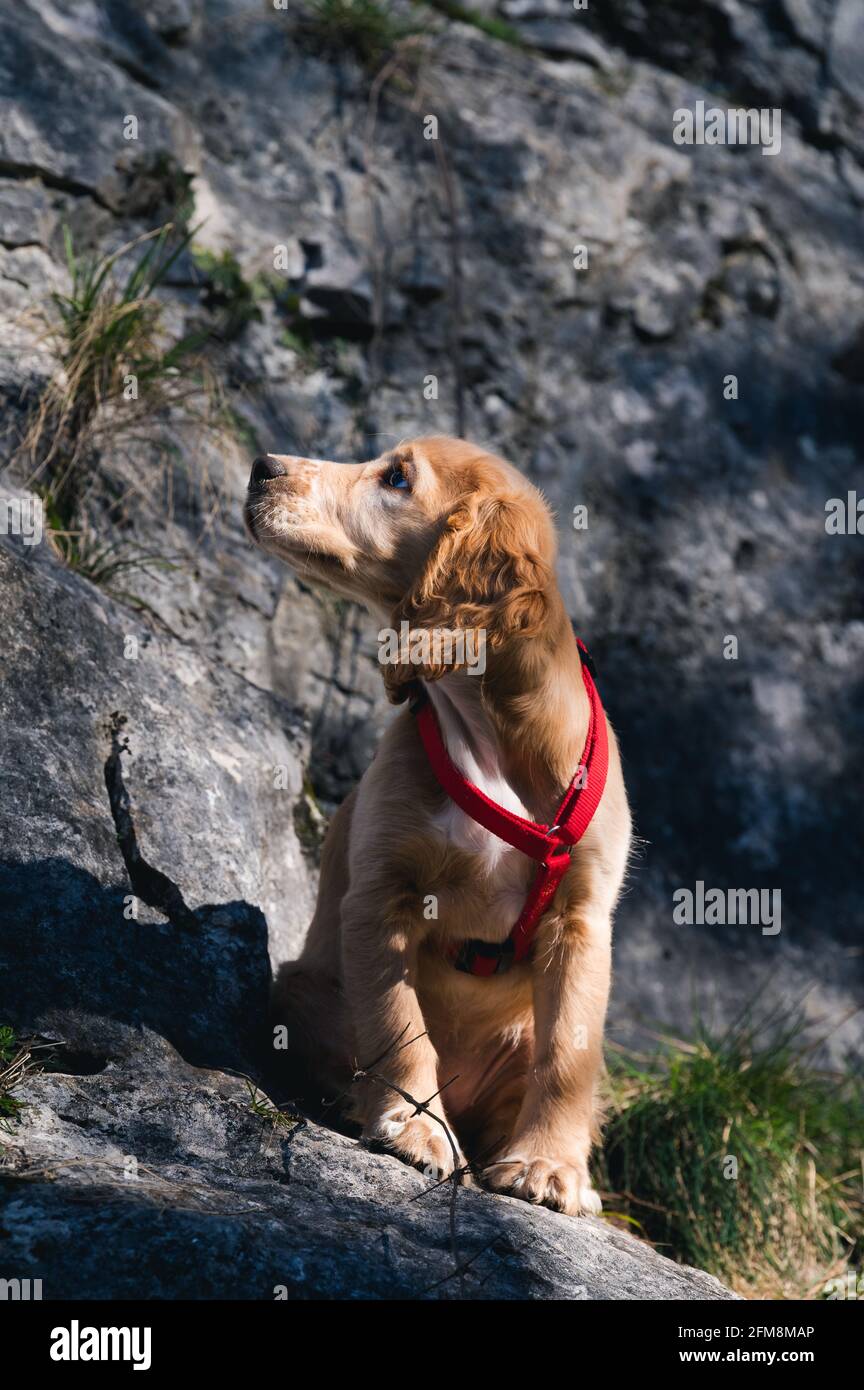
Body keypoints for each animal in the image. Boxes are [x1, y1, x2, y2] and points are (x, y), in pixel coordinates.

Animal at [244, 436, 630, 1217]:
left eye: (397, 478)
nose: (260, 468)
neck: (487, 732)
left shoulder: (581, 919)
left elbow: (566, 1055)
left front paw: (548, 1167)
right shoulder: (381, 896)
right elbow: (399, 1023)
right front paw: (415, 1128)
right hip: (303, 990)